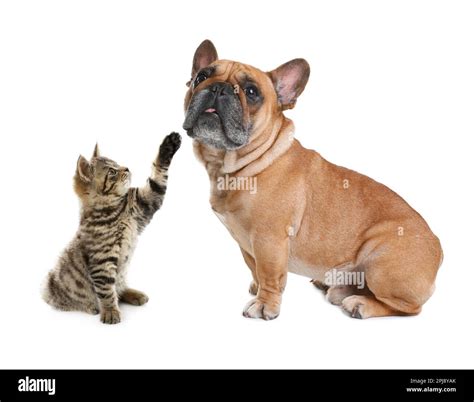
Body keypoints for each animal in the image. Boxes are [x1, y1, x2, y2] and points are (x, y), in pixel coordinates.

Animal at [43, 132, 181, 324]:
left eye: (117, 163)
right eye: (112, 171)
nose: (127, 168)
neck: (116, 210)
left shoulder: (146, 201)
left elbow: (158, 178)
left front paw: (169, 145)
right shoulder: (102, 262)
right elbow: (107, 291)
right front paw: (110, 311)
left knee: (120, 288)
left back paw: (133, 294)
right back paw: (90, 306)